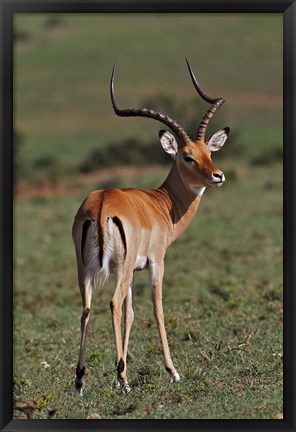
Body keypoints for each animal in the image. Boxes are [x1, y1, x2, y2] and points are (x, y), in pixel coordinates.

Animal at [73, 60, 230, 394]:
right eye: (187, 157)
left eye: (210, 152)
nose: (218, 175)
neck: (161, 204)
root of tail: (102, 204)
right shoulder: (156, 262)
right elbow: (157, 309)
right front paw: (172, 371)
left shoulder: (133, 270)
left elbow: (131, 314)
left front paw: (122, 370)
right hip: (118, 269)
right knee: (113, 303)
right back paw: (122, 380)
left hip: (87, 270)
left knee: (88, 309)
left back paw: (79, 381)